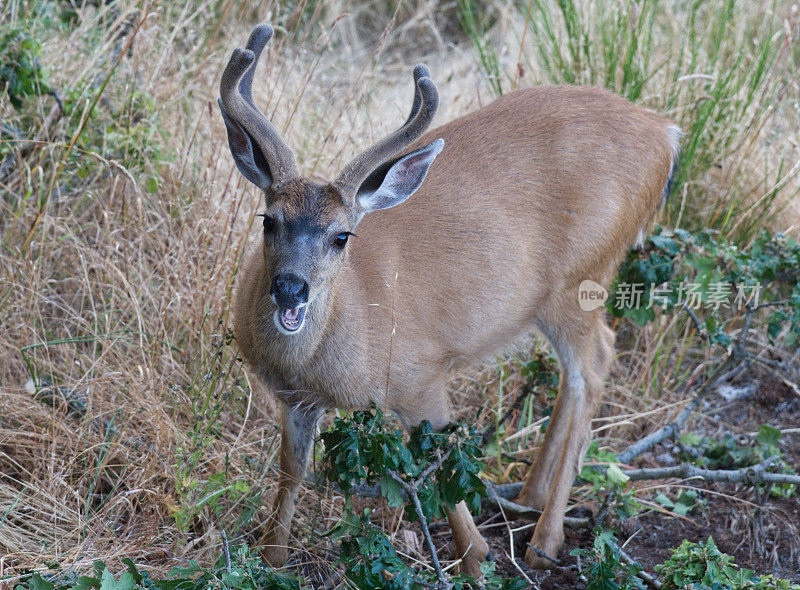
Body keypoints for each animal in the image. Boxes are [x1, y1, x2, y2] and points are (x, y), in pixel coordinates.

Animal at [219, 23, 680, 580]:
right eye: (269, 220)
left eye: (341, 236)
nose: (290, 287)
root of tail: (666, 133)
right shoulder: (295, 400)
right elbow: (291, 471)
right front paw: (272, 557)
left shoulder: (420, 374)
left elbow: (442, 468)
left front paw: (476, 557)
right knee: (578, 373)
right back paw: (529, 496)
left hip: (583, 277)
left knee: (594, 365)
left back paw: (544, 540)